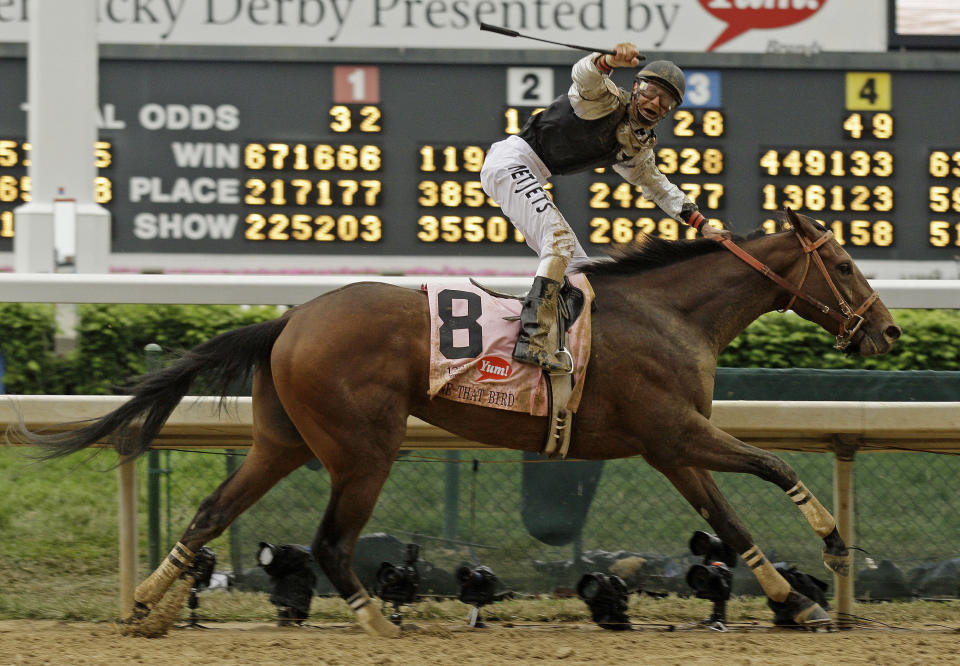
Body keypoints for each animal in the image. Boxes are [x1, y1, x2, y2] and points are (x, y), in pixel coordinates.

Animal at [13, 210, 900, 636]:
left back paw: (145, 607)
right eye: (845, 264)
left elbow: (731, 519)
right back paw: (380, 627)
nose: (888, 333)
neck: (670, 315)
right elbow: (776, 468)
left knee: (210, 512)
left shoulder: (668, 447)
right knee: (331, 543)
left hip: (281, 441)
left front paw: (797, 603)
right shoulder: (675, 433)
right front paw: (832, 548)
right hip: (364, 446)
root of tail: (289, 319)